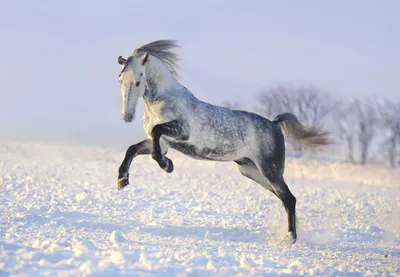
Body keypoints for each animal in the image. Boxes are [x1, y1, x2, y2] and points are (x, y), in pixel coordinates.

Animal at [115, 38, 328, 242]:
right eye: (120, 80)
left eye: (137, 81)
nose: (127, 116)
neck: (164, 100)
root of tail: (275, 124)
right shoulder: (163, 143)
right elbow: (133, 149)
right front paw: (122, 180)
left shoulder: (180, 131)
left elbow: (156, 136)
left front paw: (167, 165)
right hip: (251, 170)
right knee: (284, 198)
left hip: (270, 169)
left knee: (289, 198)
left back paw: (289, 239)